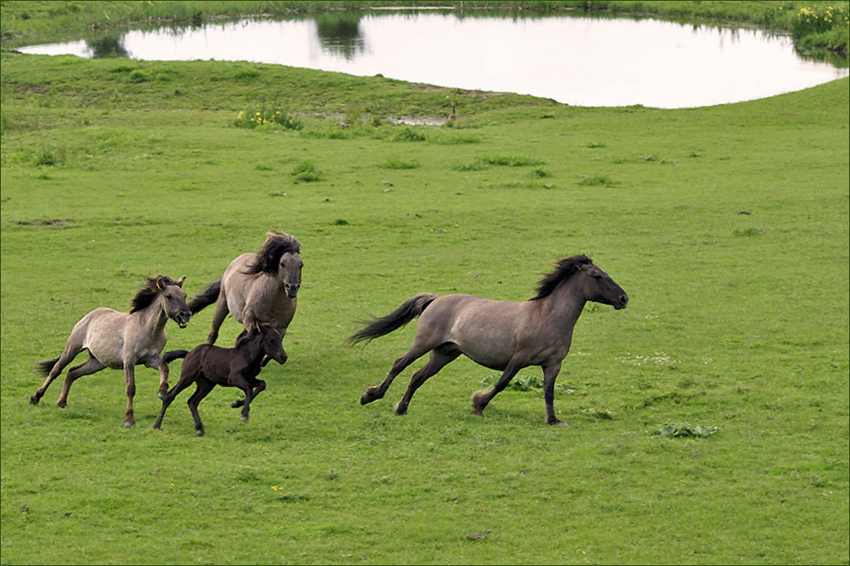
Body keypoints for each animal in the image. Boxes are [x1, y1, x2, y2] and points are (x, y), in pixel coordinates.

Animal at [30, 278, 192, 428]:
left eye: (184, 295)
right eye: (168, 296)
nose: (186, 314)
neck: (148, 328)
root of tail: (90, 315)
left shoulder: (150, 359)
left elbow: (164, 367)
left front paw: (162, 391)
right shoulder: (129, 360)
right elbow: (130, 388)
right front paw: (129, 420)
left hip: (97, 362)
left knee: (72, 372)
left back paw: (62, 402)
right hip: (72, 348)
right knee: (56, 370)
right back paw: (35, 397)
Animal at [152, 322, 284, 438]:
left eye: (280, 340)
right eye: (271, 340)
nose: (284, 357)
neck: (247, 355)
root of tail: (189, 353)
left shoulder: (250, 378)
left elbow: (261, 385)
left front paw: (236, 404)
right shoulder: (234, 378)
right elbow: (249, 389)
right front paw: (244, 414)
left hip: (206, 384)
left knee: (192, 401)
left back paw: (199, 428)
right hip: (187, 378)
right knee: (170, 397)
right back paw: (157, 425)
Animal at [189, 232, 302, 368]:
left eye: (301, 265)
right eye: (282, 264)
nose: (292, 287)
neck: (274, 302)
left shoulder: (282, 327)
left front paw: (264, 359)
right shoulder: (249, 315)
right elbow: (252, 334)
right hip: (222, 304)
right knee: (213, 333)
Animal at [348, 256, 628, 426]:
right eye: (597, 277)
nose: (624, 299)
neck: (547, 317)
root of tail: (435, 299)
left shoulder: (552, 364)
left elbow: (549, 392)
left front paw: (553, 420)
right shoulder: (519, 357)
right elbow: (502, 383)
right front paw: (478, 404)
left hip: (444, 353)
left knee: (418, 376)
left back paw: (401, 408)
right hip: (424, 344)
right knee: (399, 364)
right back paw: (371, 395)